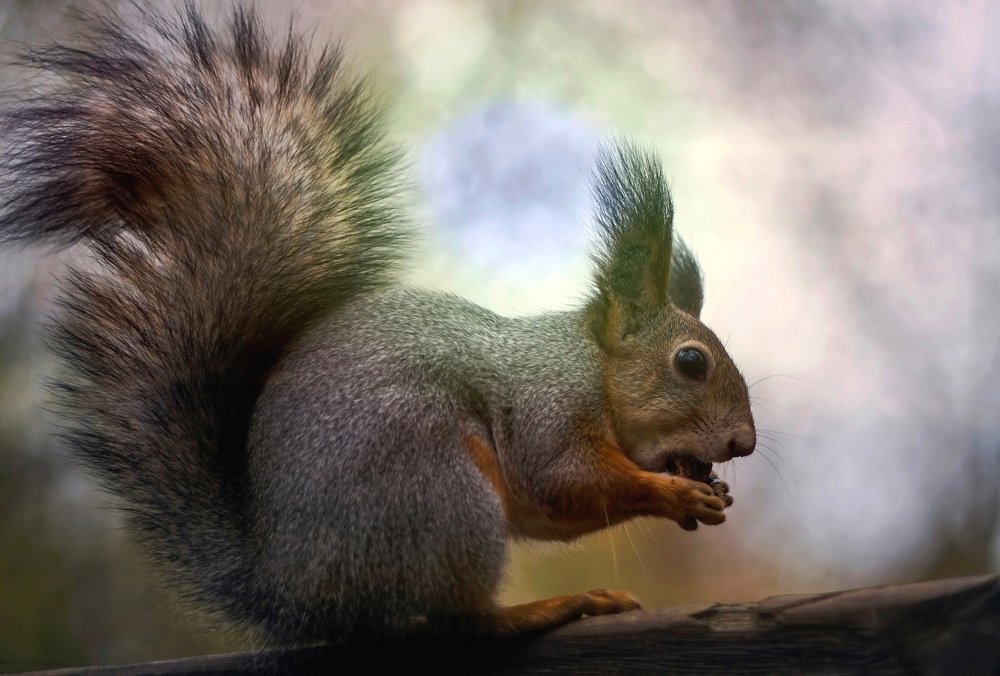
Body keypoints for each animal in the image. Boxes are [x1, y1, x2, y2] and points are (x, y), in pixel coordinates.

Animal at [0, 3, 755, 644]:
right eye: (691, 362)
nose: (743, 444)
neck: (594, 367)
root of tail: (293, 595)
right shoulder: (547, 405)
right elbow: (565, 478)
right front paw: (672, 492)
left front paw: (702, 494)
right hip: (436, 488)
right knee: (460, 622)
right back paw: (551, 606)